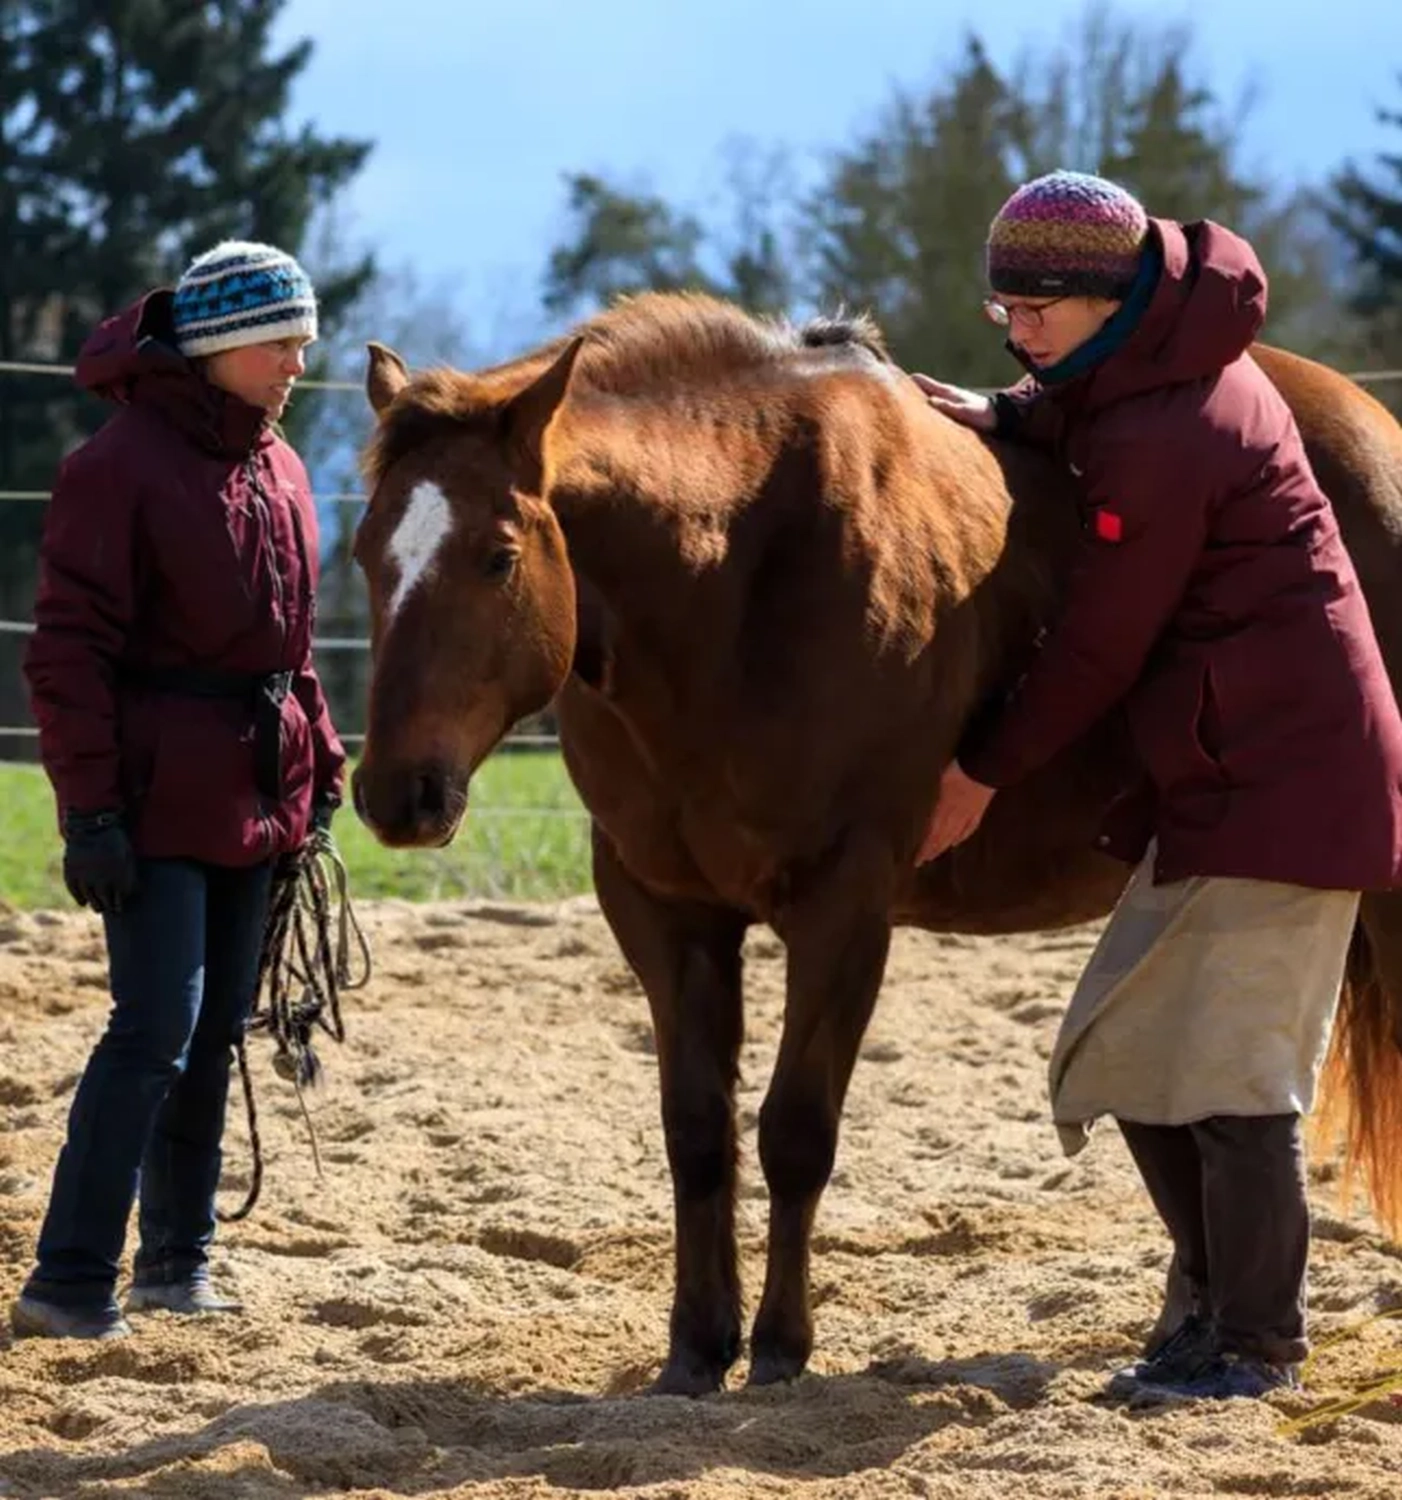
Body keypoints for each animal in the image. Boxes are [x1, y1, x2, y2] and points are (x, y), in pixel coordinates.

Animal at [347, 292, 1402, 1392]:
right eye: (367, 554)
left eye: (498, 557)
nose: (395, 794)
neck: (740, 579)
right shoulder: (664, 915)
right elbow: (698, 1135)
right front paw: (696, 1350)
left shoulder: (842, 911)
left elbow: (794, 1132)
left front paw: (778, 1349)